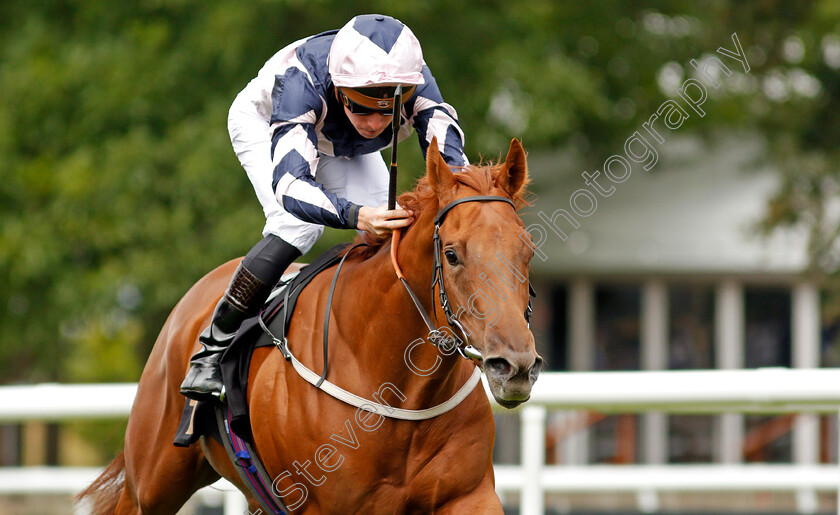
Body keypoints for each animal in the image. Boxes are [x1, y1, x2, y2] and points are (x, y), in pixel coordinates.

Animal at [77, 139, 540, 512]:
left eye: (528, 249)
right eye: (452, 254)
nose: (514, 367)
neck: (399, 390)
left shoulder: (468, 496)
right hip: (151, 484)